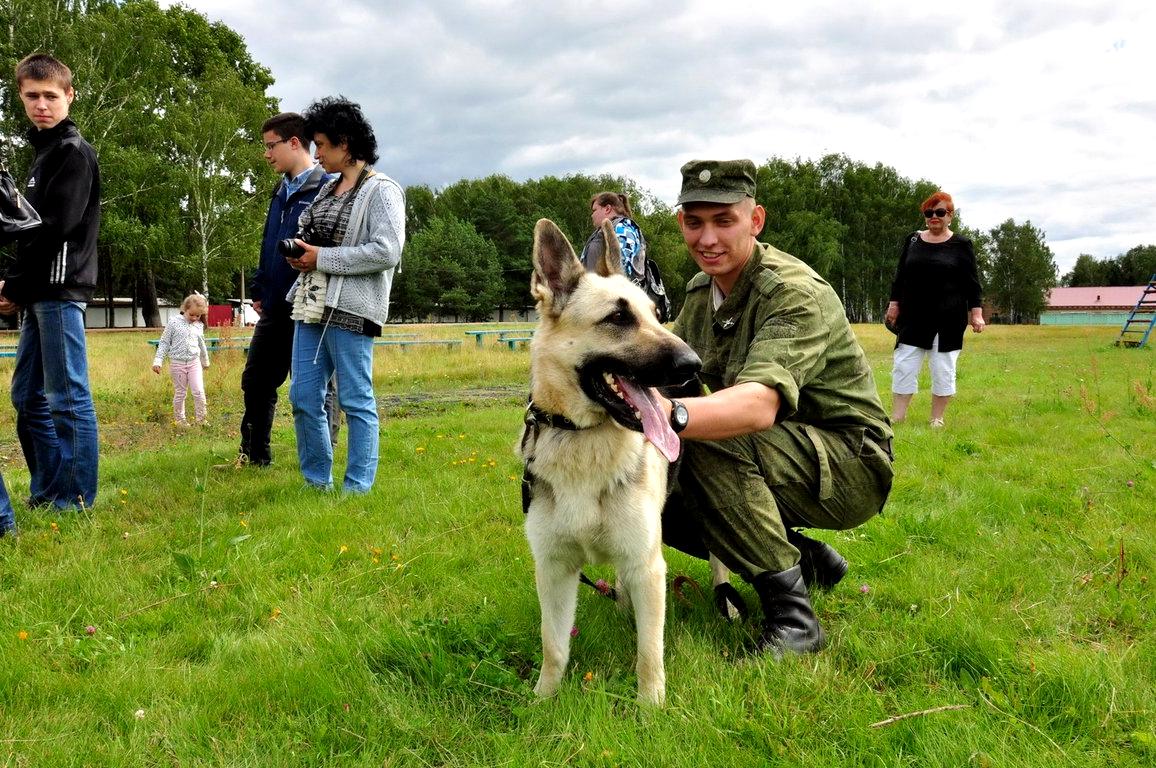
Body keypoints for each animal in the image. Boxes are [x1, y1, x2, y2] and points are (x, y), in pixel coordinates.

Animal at [520, 218, 698, 703]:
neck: (584, 439)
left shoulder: (648, 566)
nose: (692, 364)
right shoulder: (554, 570)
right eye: (618, 318)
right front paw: (543, 700)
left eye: (655, 315)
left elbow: (649, 652)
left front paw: (651, 707)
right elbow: (553, 645)